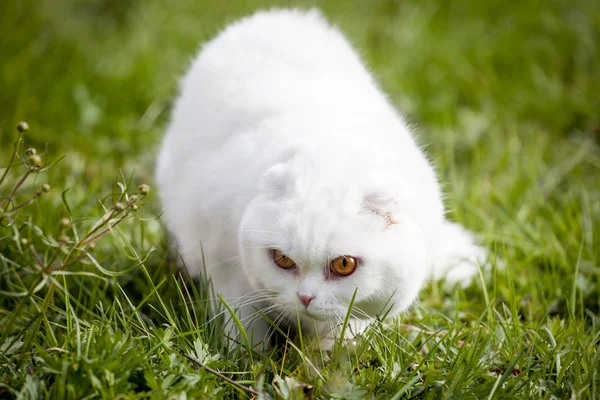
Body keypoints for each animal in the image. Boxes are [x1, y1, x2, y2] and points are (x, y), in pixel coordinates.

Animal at [156, 7, 488, 348]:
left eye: (344, 264)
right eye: (282, 259)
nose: (305, 297)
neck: (332, 156)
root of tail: (276, 16)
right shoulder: (224, 267)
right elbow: (243, 324)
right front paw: (245, 357)